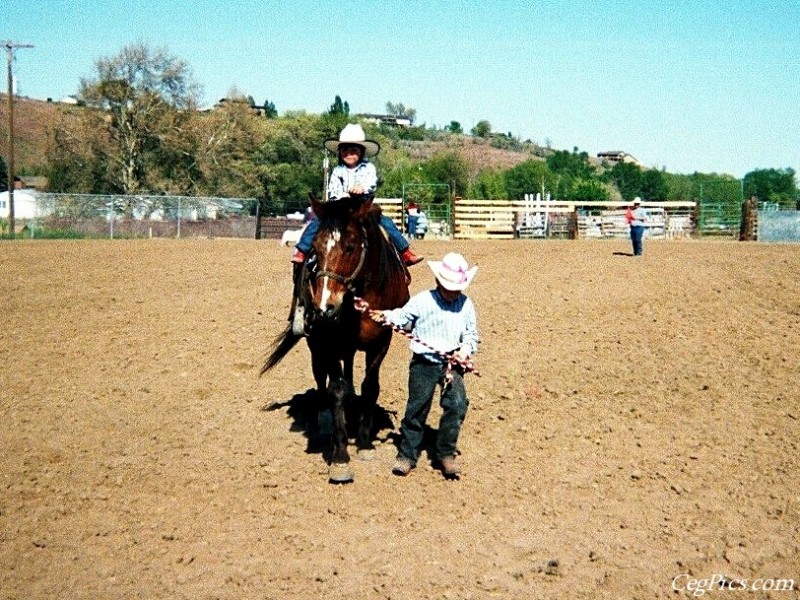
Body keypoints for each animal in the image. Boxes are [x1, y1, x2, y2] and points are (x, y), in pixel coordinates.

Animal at [262, 196, 410, 482]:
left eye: (351, 247)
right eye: (316, 249)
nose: (325, 307)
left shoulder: (381, 342)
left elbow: (370, 387)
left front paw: (364, 443)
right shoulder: (329, 341)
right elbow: (336, 391)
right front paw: (340, 456)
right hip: (316, 342)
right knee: (321, 377)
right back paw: (323, 417)